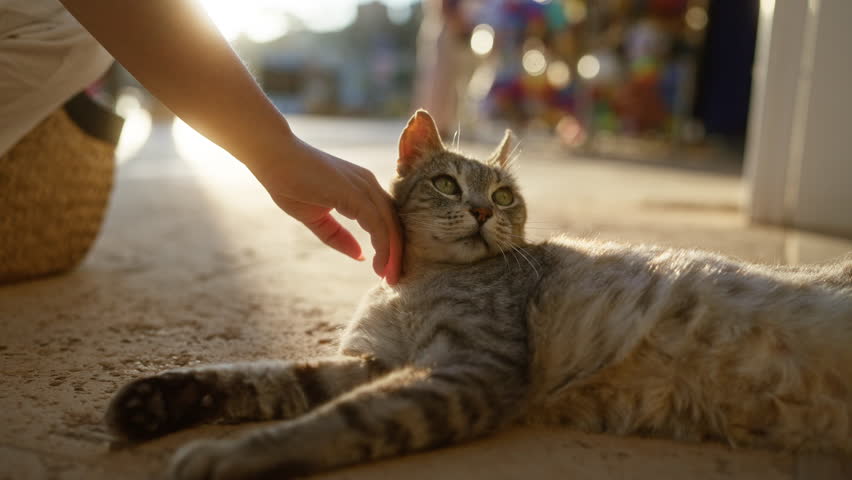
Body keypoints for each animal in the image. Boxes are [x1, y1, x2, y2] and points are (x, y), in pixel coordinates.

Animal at [105, 109, 852, 480]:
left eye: (505, 194)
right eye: (445, 184)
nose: (484, 211)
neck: (419, 286)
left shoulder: (463, 370)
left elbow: (338, 421)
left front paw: (233, 456)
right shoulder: (371, 361)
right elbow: (262, 378)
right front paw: (155, 400)